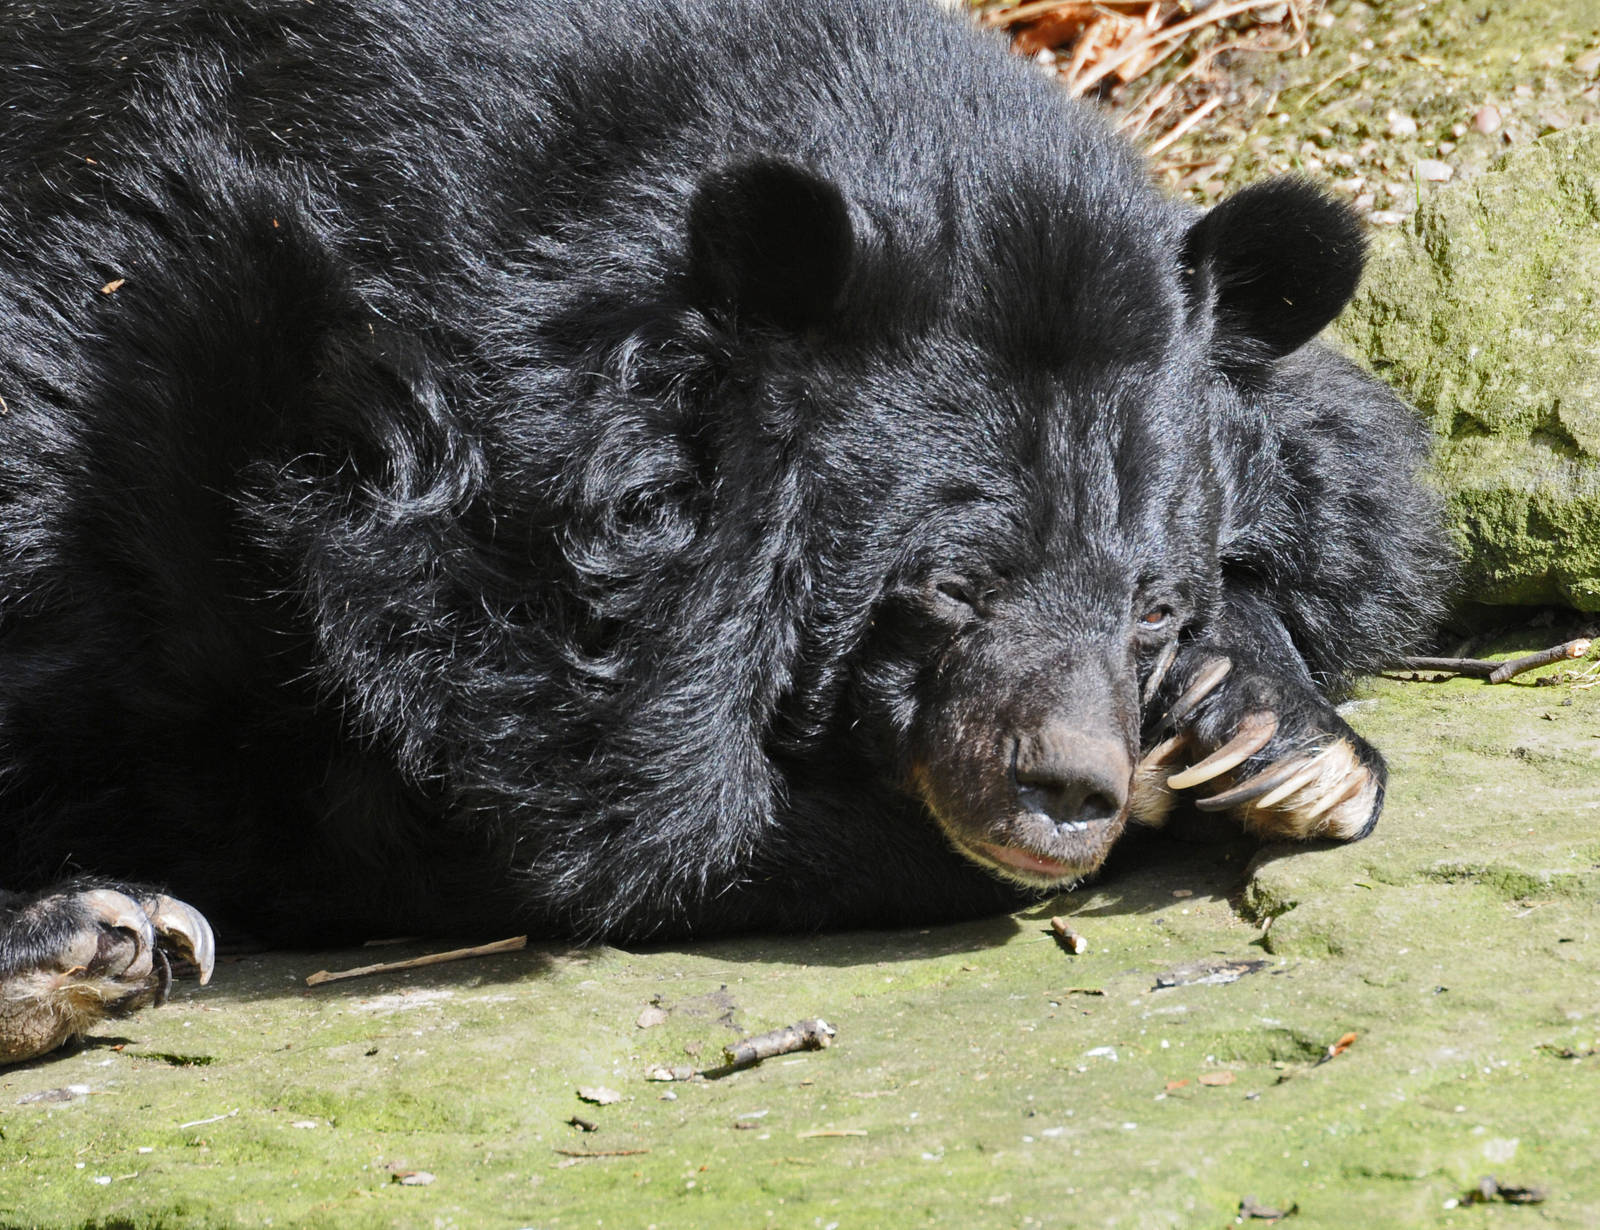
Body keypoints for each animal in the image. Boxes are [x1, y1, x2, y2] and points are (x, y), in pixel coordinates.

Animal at [0, 0, 1449, 1063]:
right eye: (947, 587)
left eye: (1153, 603)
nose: (1069, 795)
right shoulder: (415, 573)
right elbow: (634, 822)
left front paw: (1273, 736)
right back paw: (89, 938)